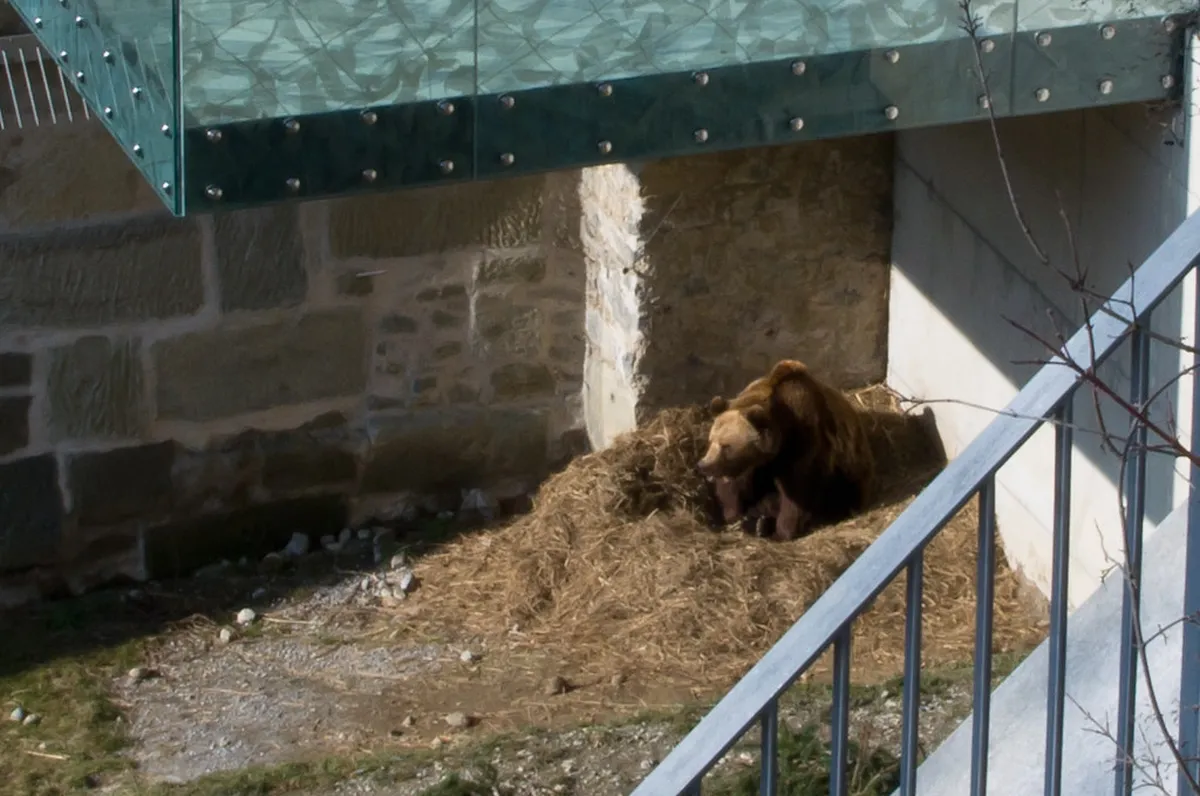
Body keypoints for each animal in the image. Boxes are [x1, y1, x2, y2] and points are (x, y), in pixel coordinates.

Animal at [698, 359, 875, 542]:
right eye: (711, 441)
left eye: (726, 446)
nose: (704, 465)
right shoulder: (751, 466)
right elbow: (735, 488)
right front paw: (734, 515)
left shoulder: (804, 448)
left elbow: (796, 494)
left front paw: (781, 532)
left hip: (850, 473)